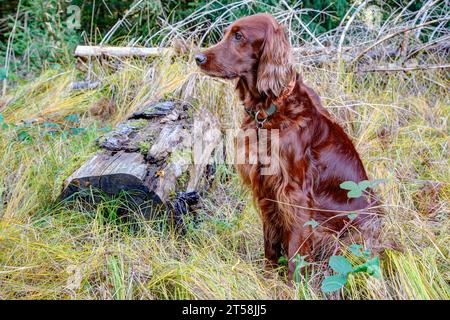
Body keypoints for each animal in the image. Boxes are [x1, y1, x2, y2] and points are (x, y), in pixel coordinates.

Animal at [195, 13, 382, 282]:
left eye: (239, 36)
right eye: (227, 34)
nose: (198, 58)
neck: (268, 111)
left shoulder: (295, 194)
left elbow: (295, 251)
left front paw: (294, 285)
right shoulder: (266, 188)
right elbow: (270, 242)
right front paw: (268, 277)